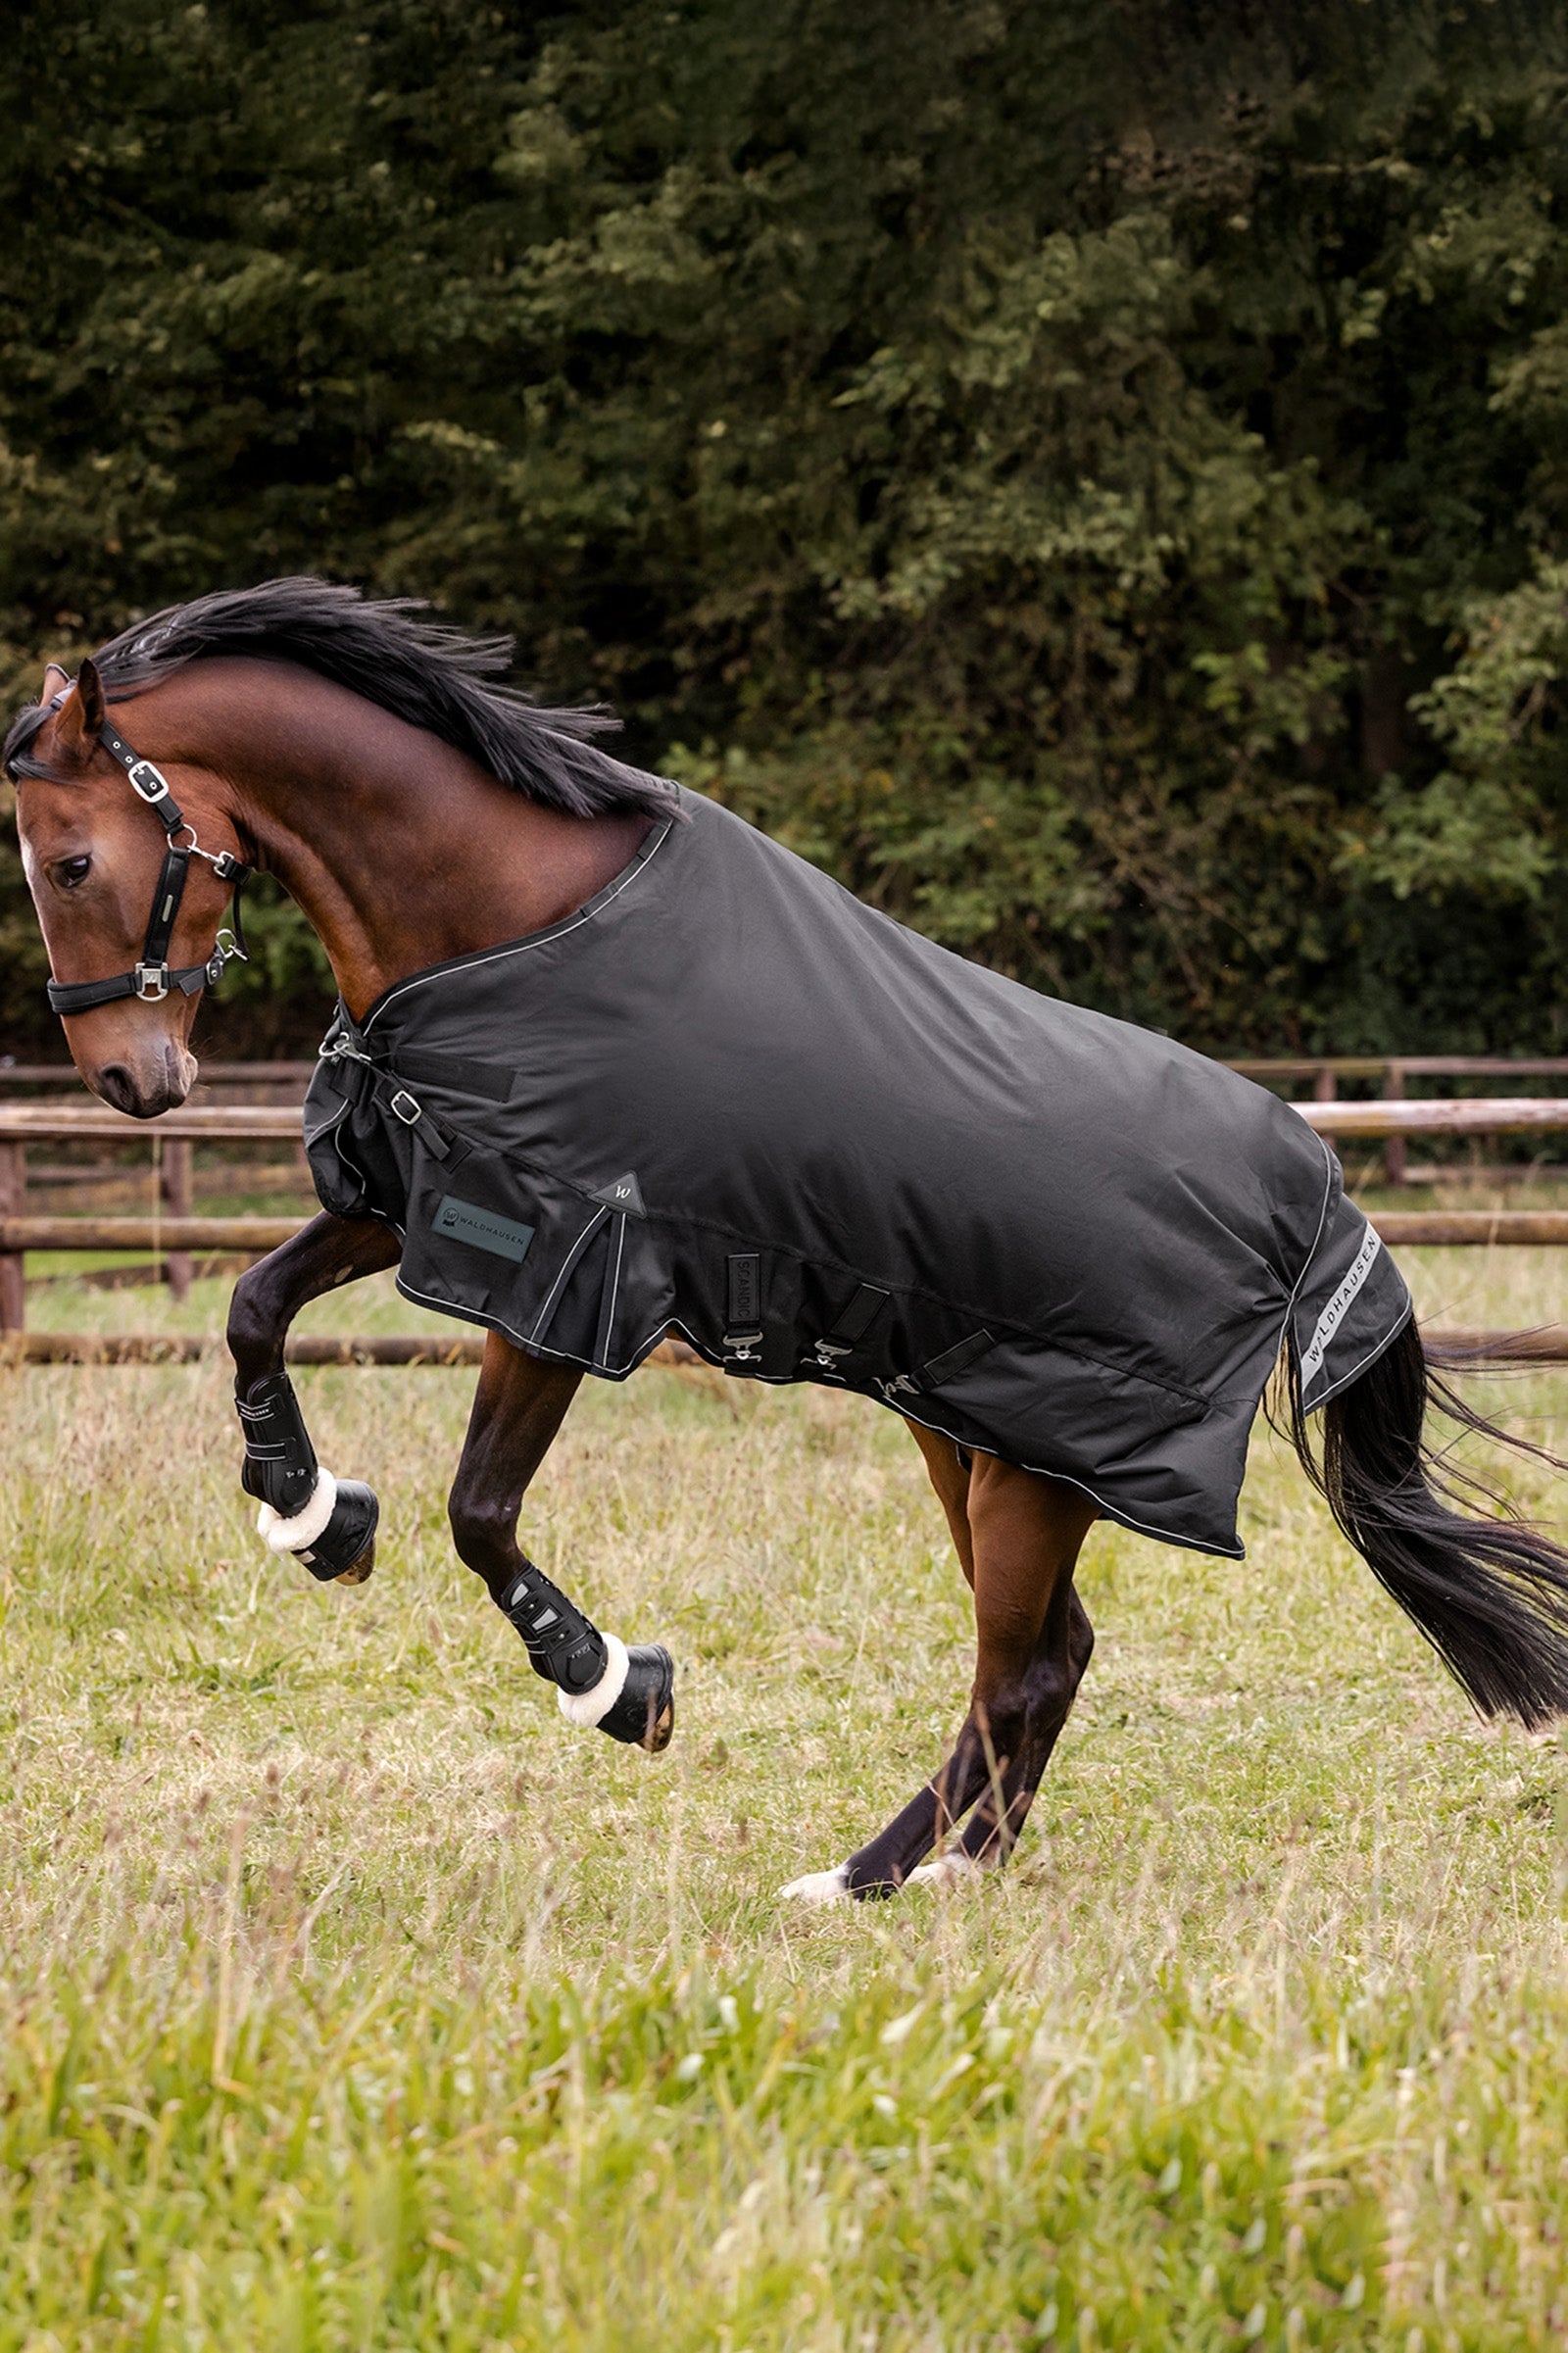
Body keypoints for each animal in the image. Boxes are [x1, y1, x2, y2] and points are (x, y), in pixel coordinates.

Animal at [11, 578, 1568, 1903]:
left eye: (74, 858)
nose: (131, 1080)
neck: (512, 920)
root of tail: (1315, 1200)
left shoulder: (566, 1262)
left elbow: (480, 1509)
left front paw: (614, 1685)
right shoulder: (425, 1193)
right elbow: (250, 1308)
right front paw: (312, 1513)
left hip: (1032, 1466)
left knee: (1019, 1670)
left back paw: (880, 1880)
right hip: (977, 1435)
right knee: (1048, 1657)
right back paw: (938, 1871)